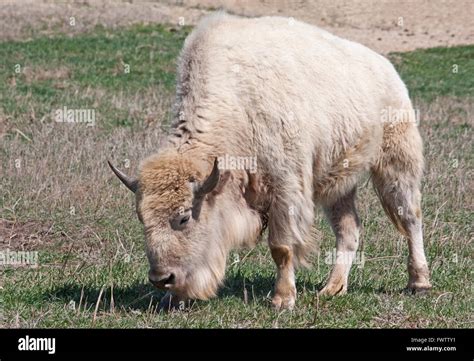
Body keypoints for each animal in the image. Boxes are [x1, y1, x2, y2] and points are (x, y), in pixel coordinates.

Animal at [109, 12, 432, 308]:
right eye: (142, 218)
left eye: (184, 217)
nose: (161, 278)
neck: (237, 105)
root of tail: (387, 69)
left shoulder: (285, 187)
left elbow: (281, 247)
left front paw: (282, 299)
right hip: (339, 183)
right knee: (349, 229)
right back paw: (332, 288)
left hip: (396, 163)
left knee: (410, 217)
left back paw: (419, 282)